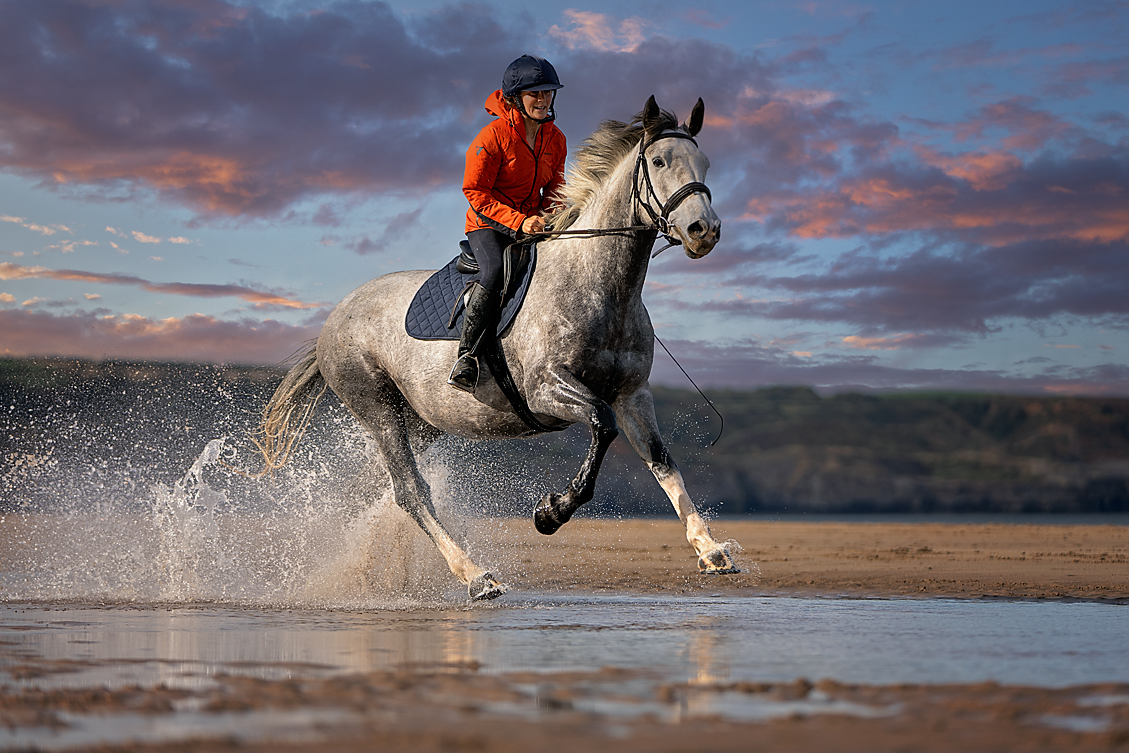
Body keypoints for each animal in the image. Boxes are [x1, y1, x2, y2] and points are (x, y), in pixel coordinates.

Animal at [257, 95, 739, 600]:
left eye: (705, 162)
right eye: (659, 161)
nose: (704, 230)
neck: (601, 285)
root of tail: (335, 317)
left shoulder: (633, 395)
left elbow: (662, 461)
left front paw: (710, 550)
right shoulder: (548, 391)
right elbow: (601, 427)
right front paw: (550, 513)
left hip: (423, 421)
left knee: (378, 488)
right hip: (377, 408)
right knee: (410, 491)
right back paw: (476, 576)